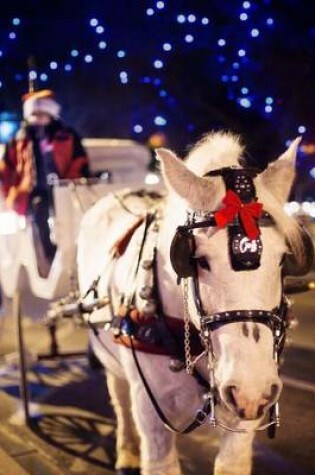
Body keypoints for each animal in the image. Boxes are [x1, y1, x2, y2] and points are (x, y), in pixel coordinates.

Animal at [77, 133, 312, 475]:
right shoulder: (150, 408)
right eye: (198, 260)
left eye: (283, 259)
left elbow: (231, 463)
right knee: (119, 396)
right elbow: (159, 460)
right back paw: (127, 450)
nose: (252, 389)